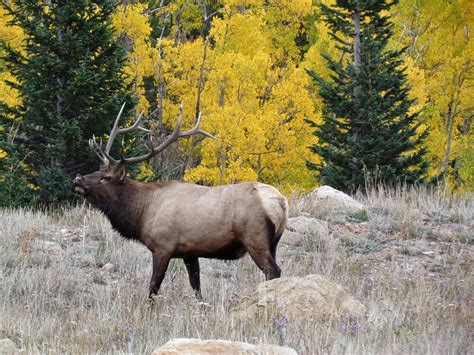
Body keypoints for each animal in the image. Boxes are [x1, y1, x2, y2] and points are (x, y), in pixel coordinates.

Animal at [75, 105, 288, 300]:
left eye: (106, 178)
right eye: (97, 170)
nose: (78, 179)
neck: (143, 213)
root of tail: (281, 202)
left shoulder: (163, 246)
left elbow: (153, 287)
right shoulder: (190, 252)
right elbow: (196, 286)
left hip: (255, 238)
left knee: (273, 271)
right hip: (274, 242)